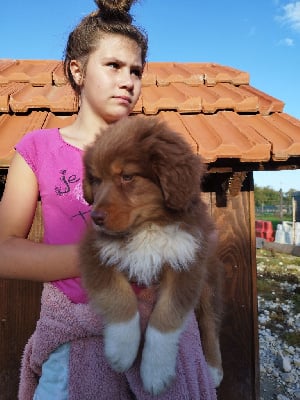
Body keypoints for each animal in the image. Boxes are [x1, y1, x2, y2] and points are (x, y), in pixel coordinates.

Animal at [78, 114, 224, 396]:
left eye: (127, 176)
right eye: (97, 180)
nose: (95, 218)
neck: (148, 225)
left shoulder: (187, 262)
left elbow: (165, 318)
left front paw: (155, 372)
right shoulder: (95, 251)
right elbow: (119, 297)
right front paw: (122, 351)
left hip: (207, 282)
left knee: (208, 319)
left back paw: (214, 368)